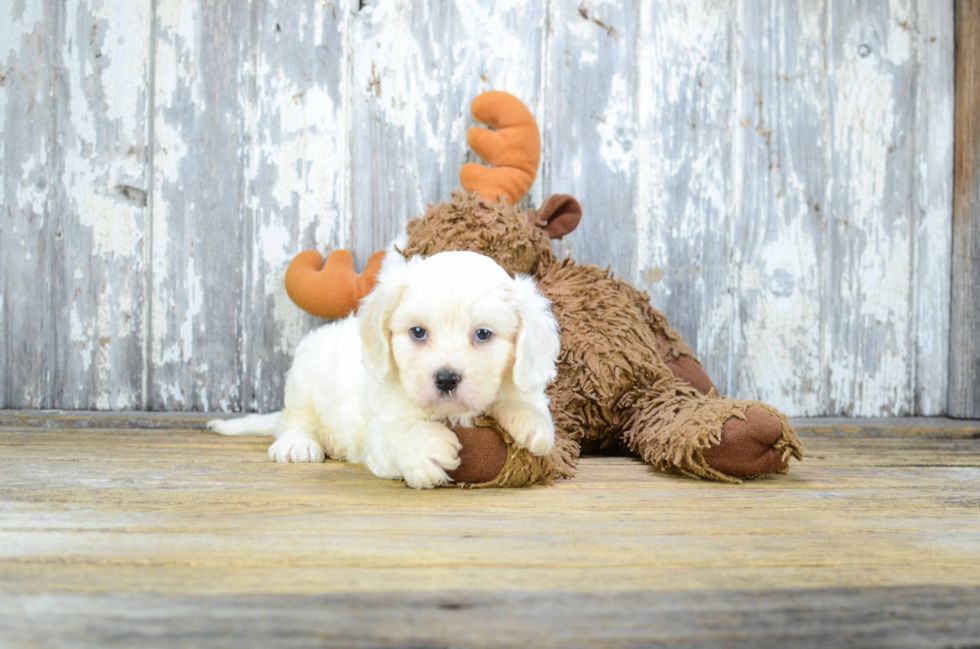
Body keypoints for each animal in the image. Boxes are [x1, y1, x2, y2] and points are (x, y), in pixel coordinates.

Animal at [209, 251, 560, 488]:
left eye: (484, 334)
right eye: (417, 332)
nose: (446, 379)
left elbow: (519, 396)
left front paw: (531, 419)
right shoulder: (379, 431)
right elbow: (395, 434)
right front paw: (425, 447)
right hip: (304, 376)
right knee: (295, 421)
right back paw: (299, 444)